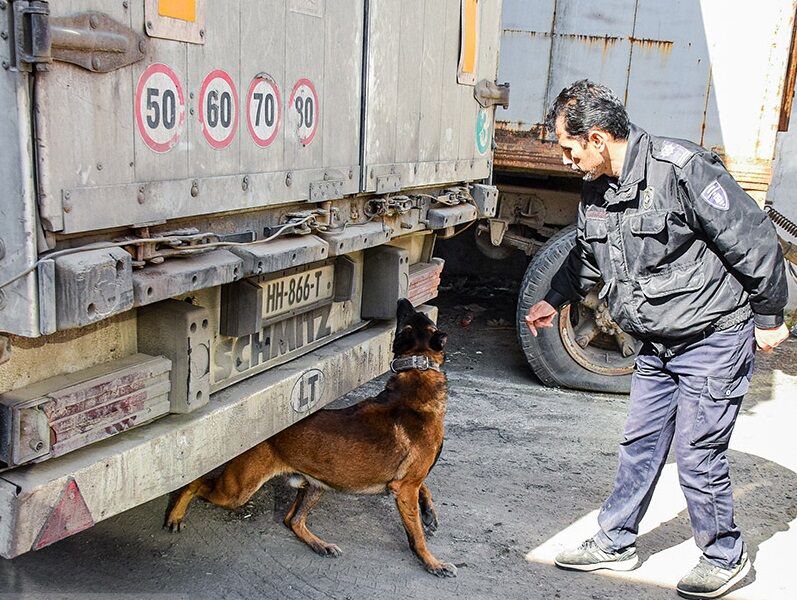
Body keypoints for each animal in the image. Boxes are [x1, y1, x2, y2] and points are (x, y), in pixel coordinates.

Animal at [163, 298, 454, 576]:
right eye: (409, 317)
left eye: (418, 316)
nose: (402, 299)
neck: (417, 372)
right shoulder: (404, 487)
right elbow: (416, 536)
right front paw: (432, 562)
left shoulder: (410, 481)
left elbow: (425, 487)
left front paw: (429, 512)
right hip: (237, 491)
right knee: (196, 484)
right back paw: (175, 515)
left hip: (317, 484)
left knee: (292, 520)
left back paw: (320, 544)